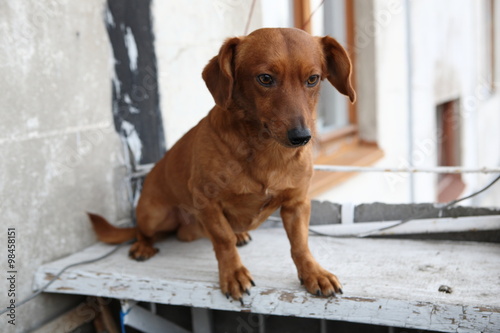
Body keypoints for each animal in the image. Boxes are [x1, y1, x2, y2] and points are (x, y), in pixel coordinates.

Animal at [90, 27, 356, 304]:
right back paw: (143, 245)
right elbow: (223, 239)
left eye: (313, 79)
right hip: (154, 215)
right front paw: (233, 274)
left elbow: (300, 244)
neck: (268, 153)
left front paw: (314, 273)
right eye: (265, 78)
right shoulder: (206, 201)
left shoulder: (297, 203)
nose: (301, 137)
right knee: (143, 231)